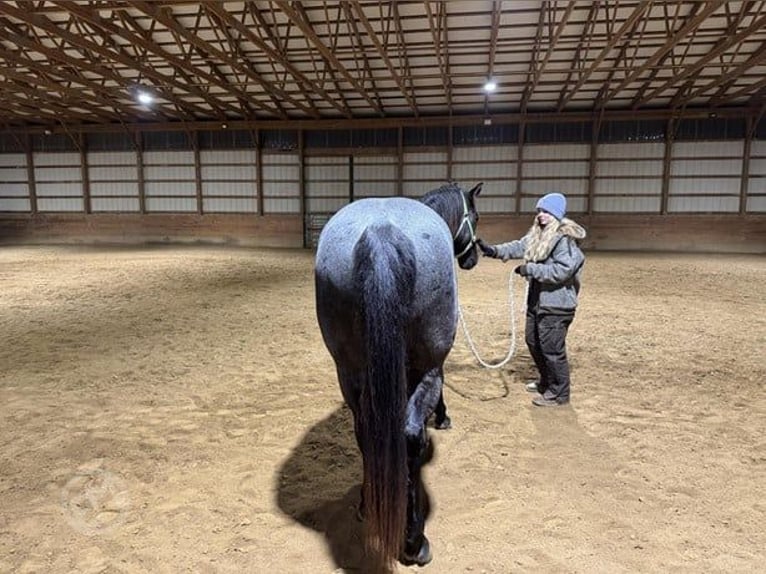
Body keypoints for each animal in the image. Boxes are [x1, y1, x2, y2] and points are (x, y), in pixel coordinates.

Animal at [314, 182, 483, 568]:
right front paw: (443, 417)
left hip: (349, 372)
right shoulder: (433, 366)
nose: (472, 258)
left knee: (367, 433)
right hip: (425, 366)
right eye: (476, 216)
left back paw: (367, 505)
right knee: (408, 436)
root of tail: (381, 231)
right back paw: (413, 540)